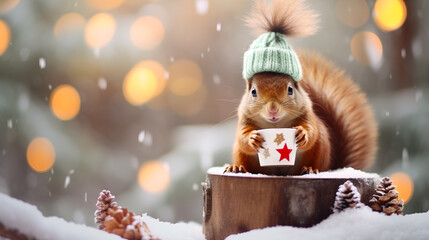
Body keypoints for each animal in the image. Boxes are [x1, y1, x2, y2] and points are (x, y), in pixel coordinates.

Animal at [226, 0, 376, 176]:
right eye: (253, 92)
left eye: (290, 89)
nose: (272, 109)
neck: (275, 125)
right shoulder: (244, 118)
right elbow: (242, 137)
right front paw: (252, 138)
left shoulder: (307, 114)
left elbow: (310, 131)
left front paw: (303, 134)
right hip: (239, 153)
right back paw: (236, 168)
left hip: (322, 147)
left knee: (316, 159)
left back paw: (310, 169)